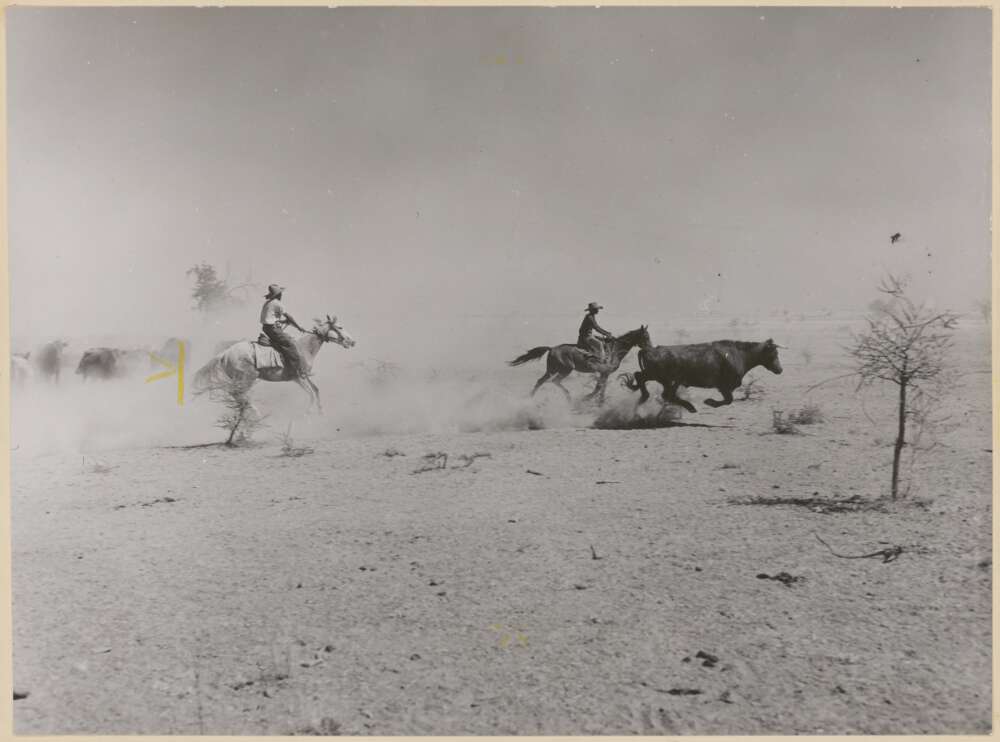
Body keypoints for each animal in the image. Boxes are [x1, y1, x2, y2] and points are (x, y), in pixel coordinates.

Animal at [192, 316, 356, 416]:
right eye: (340, 327)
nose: (352, 341)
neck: (303, 348)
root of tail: (225, 353)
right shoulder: (299, 377)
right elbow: (310, 393)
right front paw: (307, 414)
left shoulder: (301, 377)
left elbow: (316, 390)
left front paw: (321, 412)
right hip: (247, 378)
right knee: (240, 395)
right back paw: (256, 415)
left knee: (237, 395)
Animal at [508, 326, 656, 404]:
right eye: (646, 337)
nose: (651, 348)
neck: (615, 350)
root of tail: (551, 348)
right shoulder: (604, 372)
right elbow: (599, 387)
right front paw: (588, 399)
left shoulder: (605, 373)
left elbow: (601, 387)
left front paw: (599, 402)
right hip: (565, 370)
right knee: (554, 381)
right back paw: (569, 397)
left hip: (552, 370)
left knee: (541, 381)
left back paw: (530, 397)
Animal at [620, 340, 784, 416]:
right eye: (773, 354)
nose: (780, 369)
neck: (739, 354)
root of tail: (651, 349)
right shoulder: (724, 387)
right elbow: (728, 400)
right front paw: (709, 402)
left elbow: (728, 400)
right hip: (663, 378)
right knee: (663, 392)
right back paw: (689, 407)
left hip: (661, 377)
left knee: (644, 379)